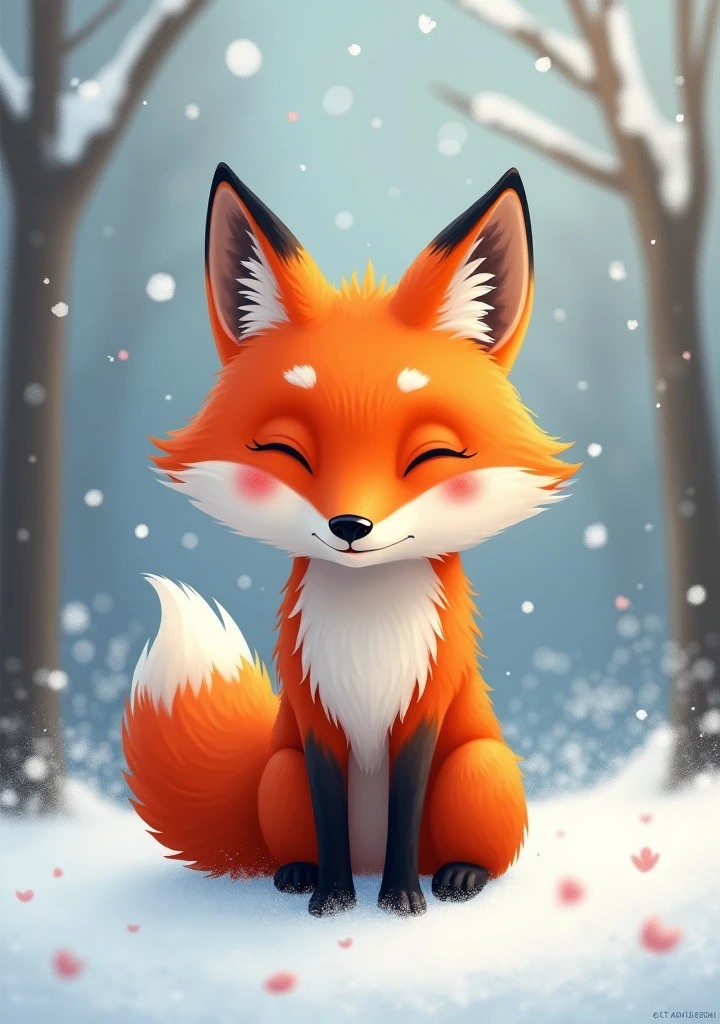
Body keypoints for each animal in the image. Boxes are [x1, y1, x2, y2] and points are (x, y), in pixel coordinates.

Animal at [122, 161, 579, 918]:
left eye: (430, 455)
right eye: (287, 451)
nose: (350, 527)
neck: (368, 627)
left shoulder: (423, 708)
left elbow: (405, 808)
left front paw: (401, 903)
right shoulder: (314, 719)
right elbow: (330, 812)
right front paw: (331, 901)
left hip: (479, 765)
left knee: (461, 846)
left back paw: (456, 876)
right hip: (277, 772)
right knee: (304, 836)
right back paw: (299, 873)